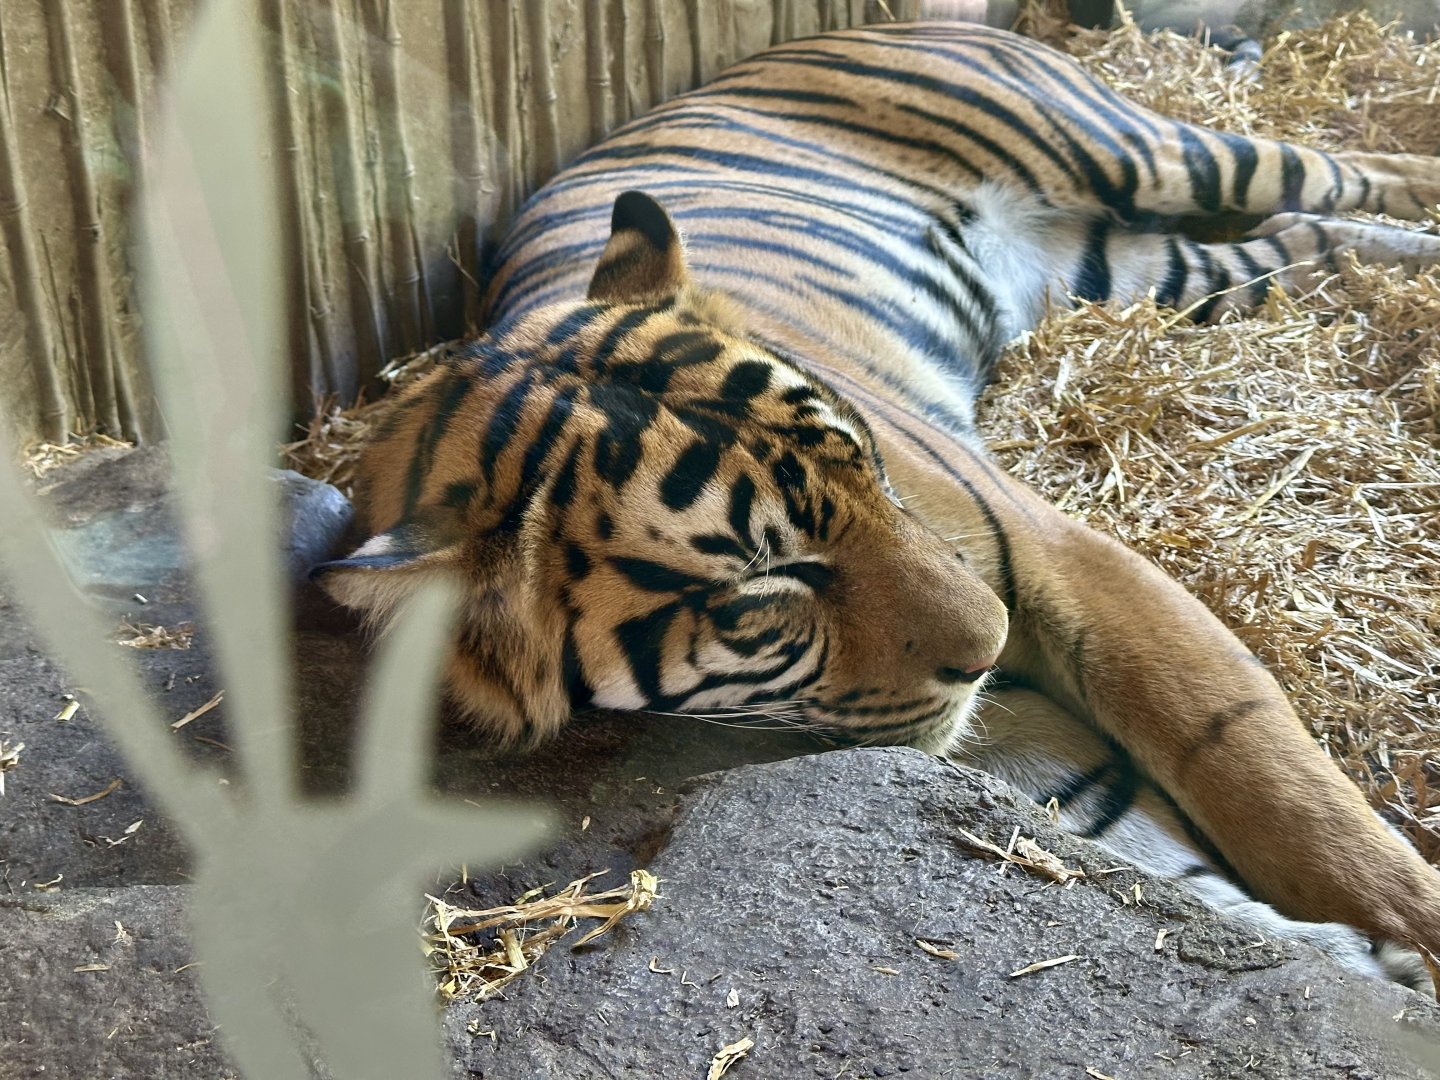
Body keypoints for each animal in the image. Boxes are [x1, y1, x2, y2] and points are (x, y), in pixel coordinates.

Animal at [314, 22, 1440, 988]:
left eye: (862, 460)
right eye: (763, 585)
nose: (990, 647)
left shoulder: (1068, 556)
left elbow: (1254, 762)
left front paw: (1409, 920)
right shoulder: (966, 716)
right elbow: (1124, 834)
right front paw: (1351, 957)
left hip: (1141, 148)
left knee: (1319, 169)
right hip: (1133, 271)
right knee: (1299, 239)